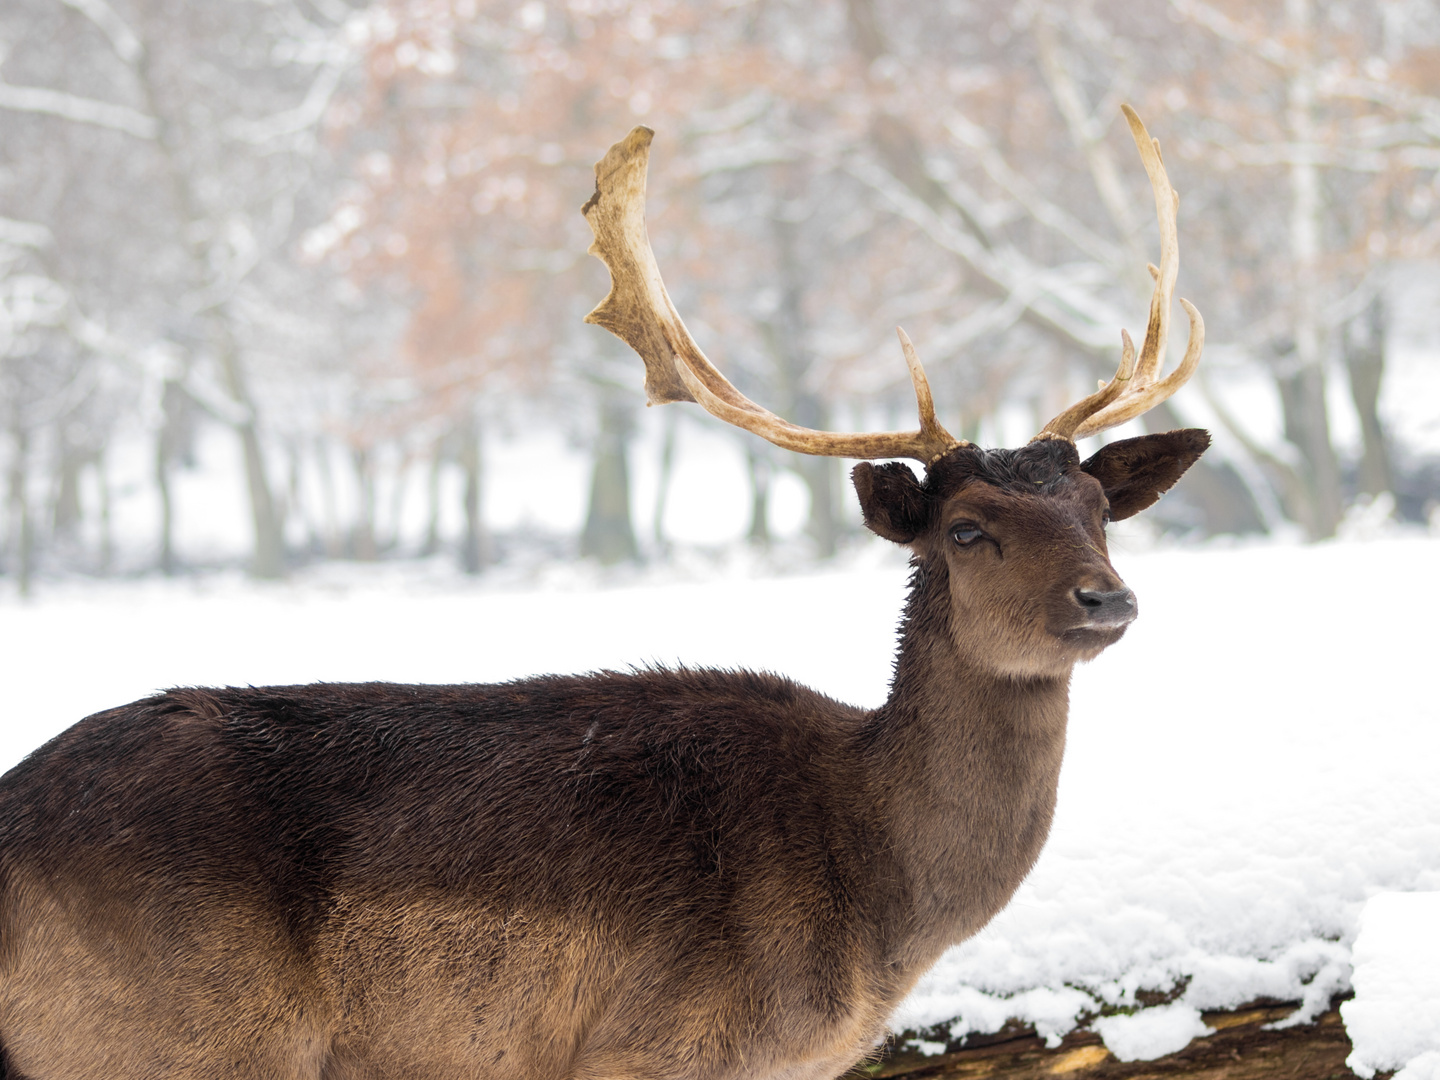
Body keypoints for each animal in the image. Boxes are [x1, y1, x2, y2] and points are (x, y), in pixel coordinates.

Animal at [0, 103, 1209, 1080]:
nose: (1105, 599)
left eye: (1098, 509)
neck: (878, 913)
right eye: (966, 529)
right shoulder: (655, 1046)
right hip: (169, 1040)